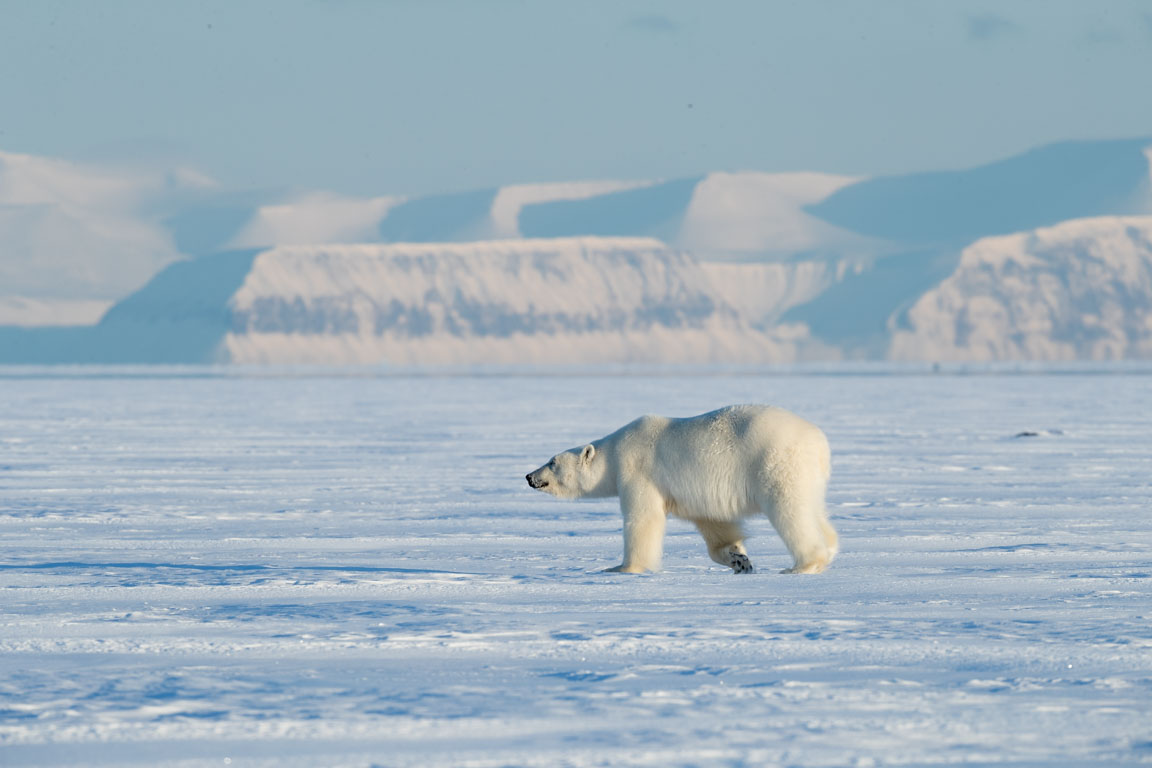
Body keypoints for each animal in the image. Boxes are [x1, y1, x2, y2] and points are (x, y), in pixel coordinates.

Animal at [527, 405, 838, 573]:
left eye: (552, 462)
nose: (530, 476)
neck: (614, 452)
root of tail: (819, 441)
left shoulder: (638, 470)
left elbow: (643, 519)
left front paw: (622, 567)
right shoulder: (694, 495)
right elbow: (714, 524)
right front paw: (739, 559)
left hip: (775, 461)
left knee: (790, 510)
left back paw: (804, 564)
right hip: (809, 476)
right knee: (813, 508)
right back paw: (831, 546)